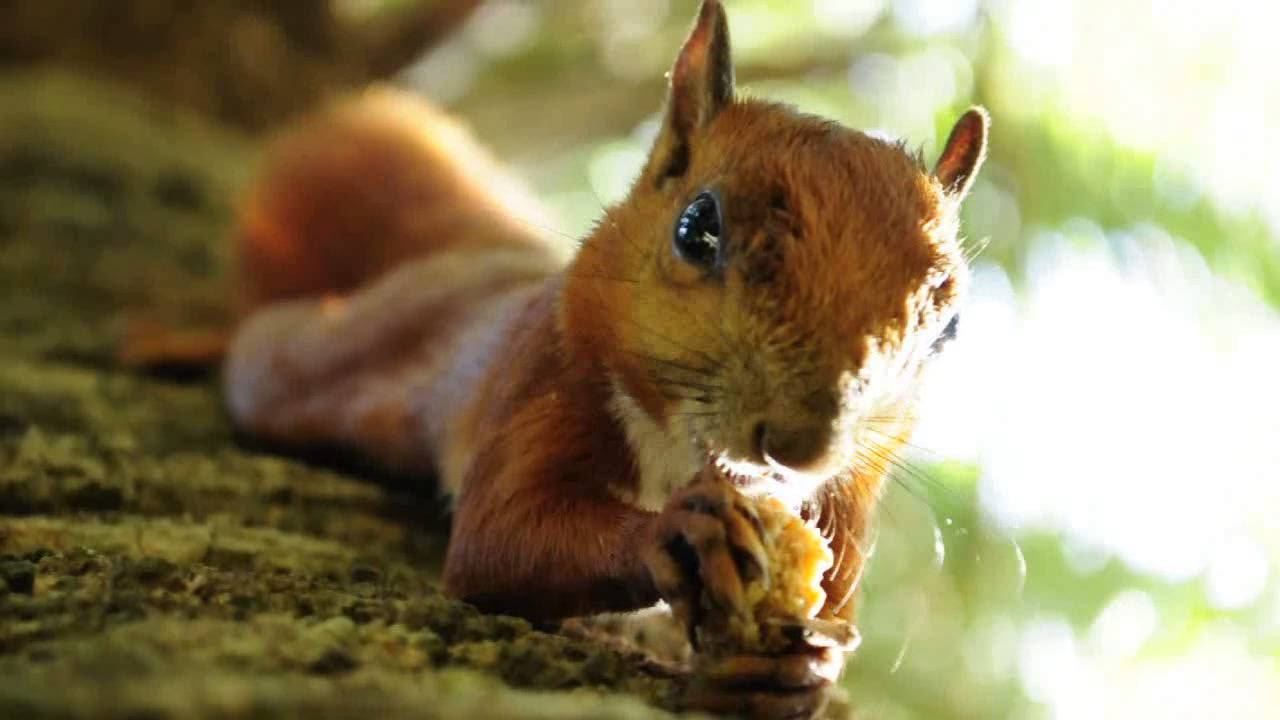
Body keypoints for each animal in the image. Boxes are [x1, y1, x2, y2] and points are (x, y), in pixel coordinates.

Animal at [152, 2, 988, 712]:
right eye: (697, 228)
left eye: (949, 324)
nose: (799, 446)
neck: (679, 458)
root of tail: (489, 261)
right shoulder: (540, 382)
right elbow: (496, 541)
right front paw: (675, 533)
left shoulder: (843, 517)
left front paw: (795, 669)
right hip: (336, 362)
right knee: (271, 354)